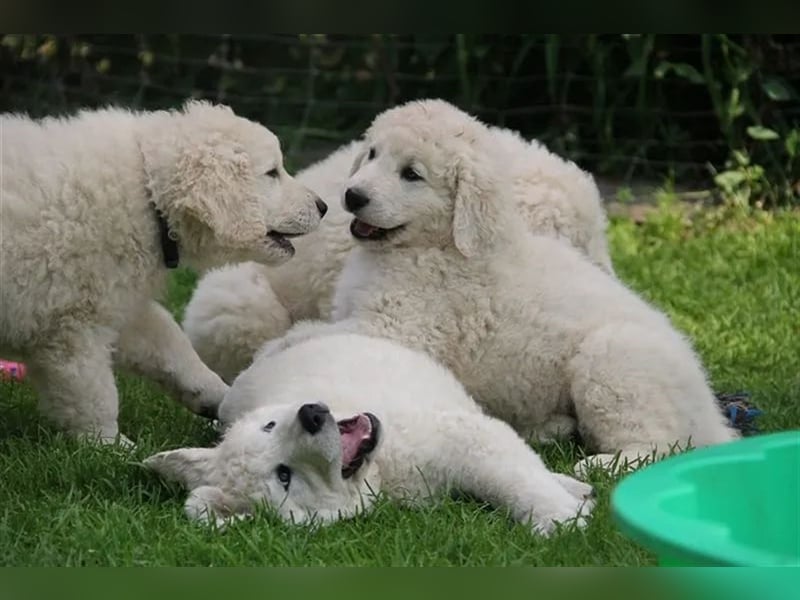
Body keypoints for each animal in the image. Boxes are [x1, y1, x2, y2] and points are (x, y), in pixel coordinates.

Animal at [0, 101, 326, 442]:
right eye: (272, 172)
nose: (323, 206)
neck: (149, 196)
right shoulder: (72, 325)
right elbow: (93, 393)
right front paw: (111, 444)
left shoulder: (120, 303)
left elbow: (169, 343)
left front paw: (220, 396)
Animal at [144, 332, 592, 536]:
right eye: (284, 476)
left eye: (269, 425)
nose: (312, 414)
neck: (381, 471)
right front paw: (566, 520)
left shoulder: (464, 435)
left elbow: (515, 478)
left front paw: (561, 516)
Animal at [258, 98, 736, 476]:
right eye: (372, 153)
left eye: (412, 174)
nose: (353, 196)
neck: (434, 245)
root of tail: (710, 415)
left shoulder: (402, 328)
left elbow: (307, 336)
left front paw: (274, 352)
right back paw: (550, 428)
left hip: (614, 361)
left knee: (660, 444)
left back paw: (603, 463)